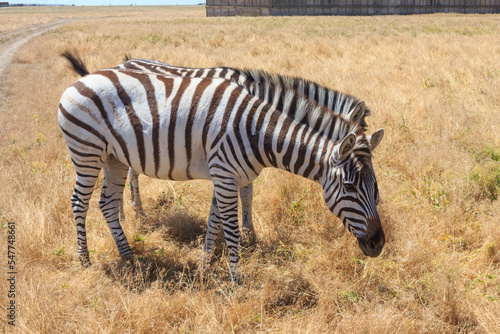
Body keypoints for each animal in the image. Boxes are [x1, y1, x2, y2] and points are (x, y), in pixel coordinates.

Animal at [114, 57, 372, 237]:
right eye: (360, 143)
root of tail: (124, 61)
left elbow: (247, 193)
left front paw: (247, 231)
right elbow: (244, 193)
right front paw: (243, 232)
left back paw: (132, 211)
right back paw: (130, 212)